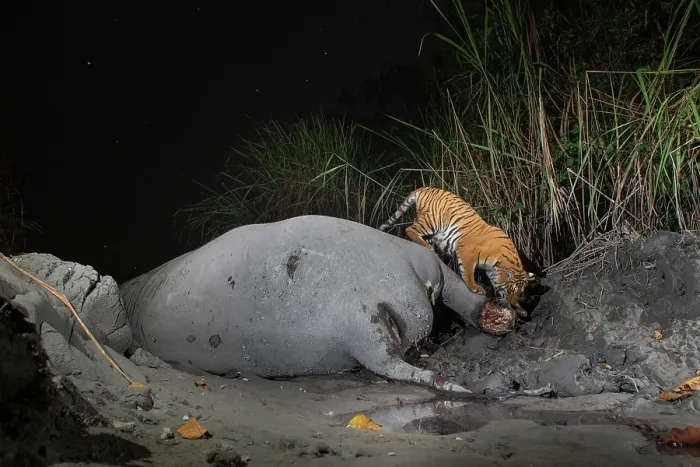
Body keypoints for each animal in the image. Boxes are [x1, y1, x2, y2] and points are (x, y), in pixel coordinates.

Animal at [379, 186, 535, 318]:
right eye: (512, 290)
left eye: (520, 292)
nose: (513, 301)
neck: (500, 264)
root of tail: (426, 188)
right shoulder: (467, 252)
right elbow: (468, 273)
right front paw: (476, 288)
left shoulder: (491, 271)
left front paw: (519, 309)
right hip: (433, 221)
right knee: (410, 229)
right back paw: (428, 247)